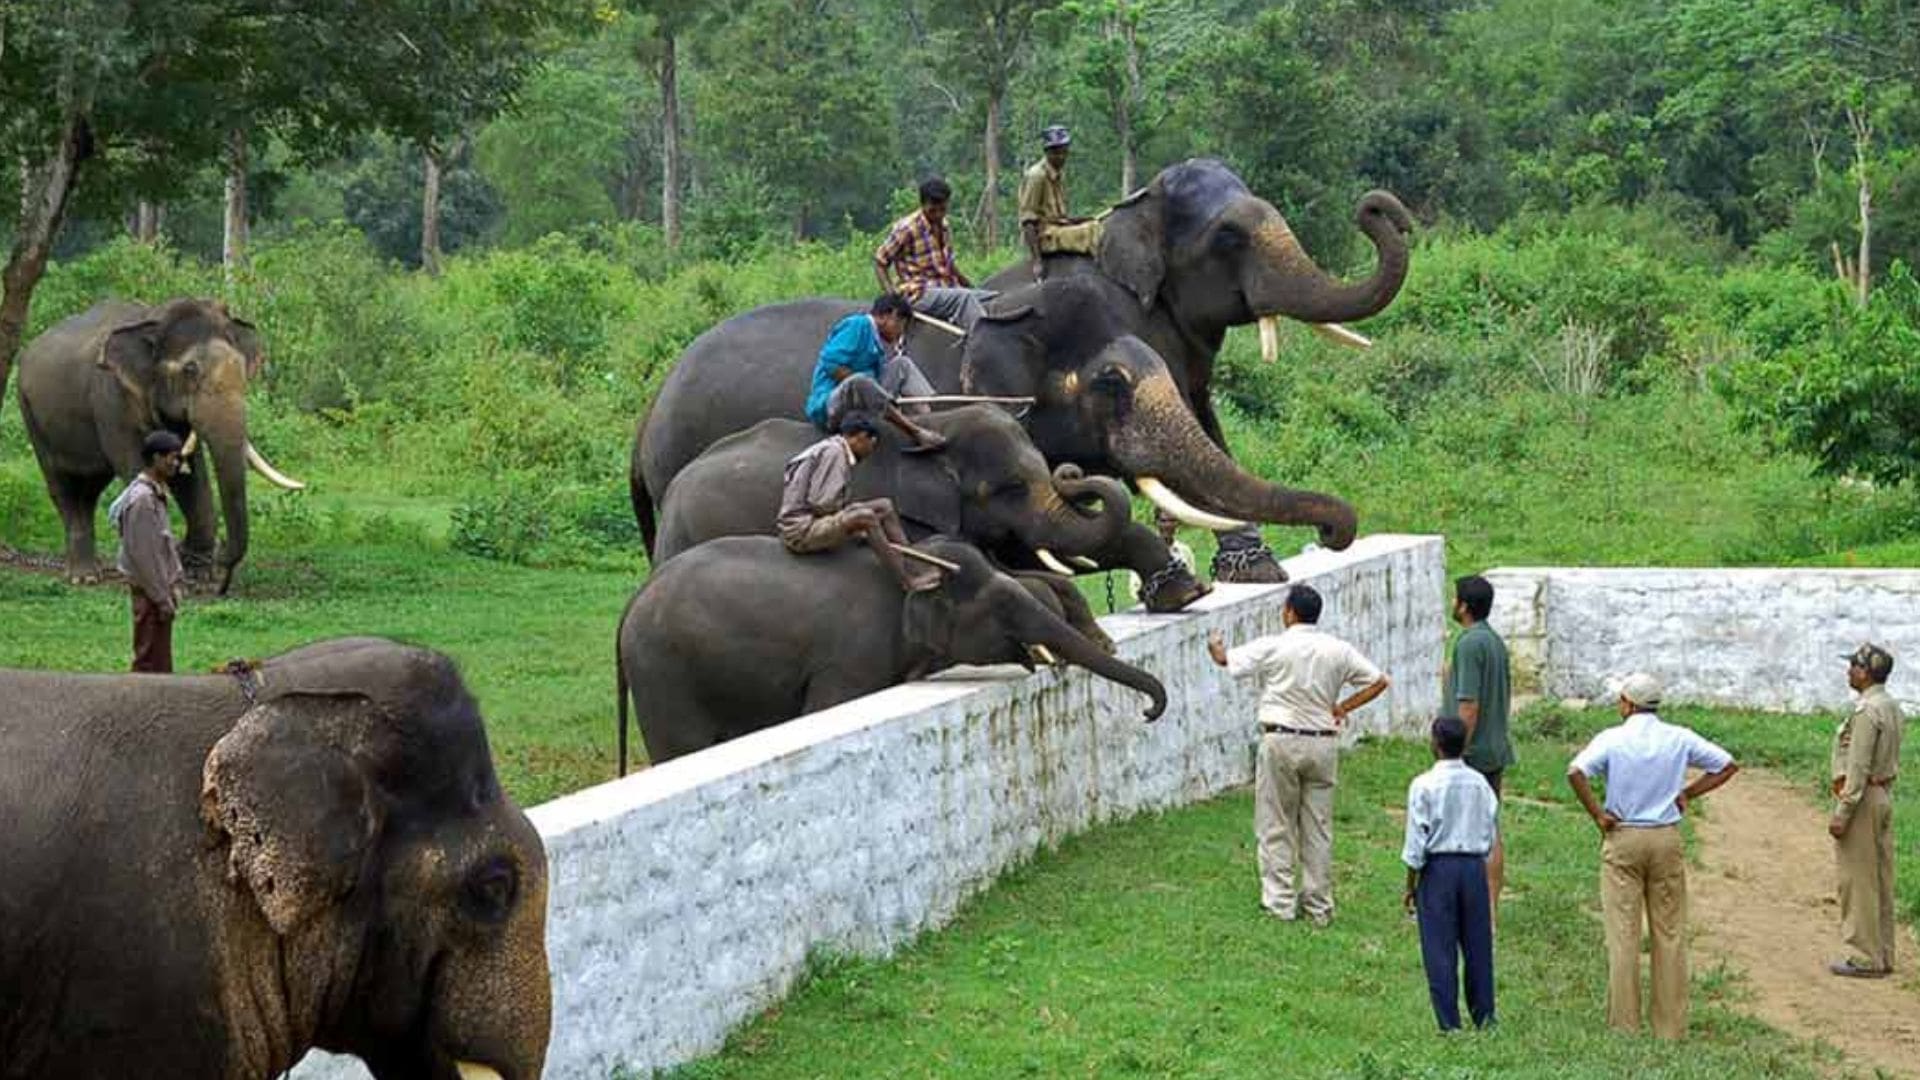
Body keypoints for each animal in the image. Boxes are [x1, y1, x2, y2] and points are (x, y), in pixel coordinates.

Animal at [16, 298, 307, 591]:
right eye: (190, 370)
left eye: (241, 367)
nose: (224, 559)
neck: (154, 317)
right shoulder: (111, 398)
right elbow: (136, 465)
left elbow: (191, 473)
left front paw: (197, 574)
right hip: (30, 413)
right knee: (62, 488)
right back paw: (83, 577)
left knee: (90, 491)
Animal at [615, 535, 1167, 766]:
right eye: (1004, 606)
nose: (1147, 711)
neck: (915, 566)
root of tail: (629, 608)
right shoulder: (849, 660)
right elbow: (824, 707)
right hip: (665, 675)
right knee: (681, 747)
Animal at [630, 158, 1408, 582]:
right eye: (1229, 237)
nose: (1379, 207)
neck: (1119, 221)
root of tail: (648, 413)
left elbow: (1204, 430)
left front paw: (1255, 571)